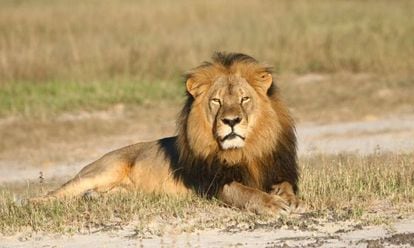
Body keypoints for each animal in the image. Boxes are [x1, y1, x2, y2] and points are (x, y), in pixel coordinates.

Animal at [30, 52, 300, 215]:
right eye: (216, 101)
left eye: (244, 99)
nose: (231, 121)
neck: (245, 151)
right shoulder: (213, 184)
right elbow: (245, 192)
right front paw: (272, 204)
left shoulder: (277, 169)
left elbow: (286, 185)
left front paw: (289, 198)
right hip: (102, 171)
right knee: (57, 193)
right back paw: (33, 204)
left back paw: (94, 198)